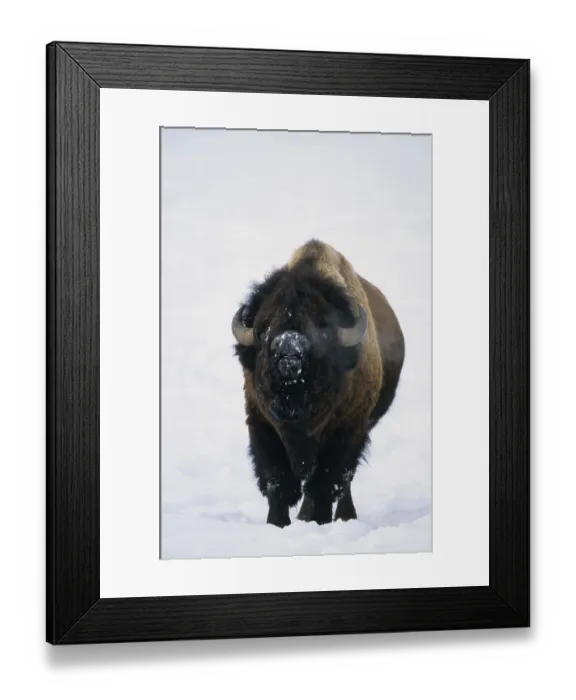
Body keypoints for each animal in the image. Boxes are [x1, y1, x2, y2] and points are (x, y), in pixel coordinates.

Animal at [231, 239, 405, 527]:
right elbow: (277, 481)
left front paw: (319, 521)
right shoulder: (261, 423)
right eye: (264, 327)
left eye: (321, 328)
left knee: (342, 483)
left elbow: (326, 481)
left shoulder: (347, 429)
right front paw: (277, 523)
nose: (289, 350)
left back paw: (342, 516)